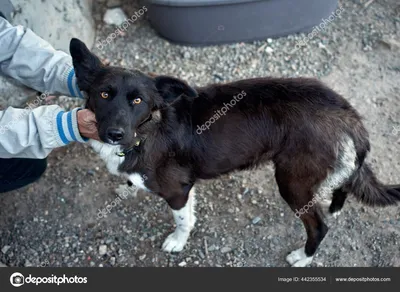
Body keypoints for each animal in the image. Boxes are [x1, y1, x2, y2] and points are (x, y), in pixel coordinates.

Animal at [70, 37, 398, 266]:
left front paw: (177, 242)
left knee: (319, 227)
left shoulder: (177, 189)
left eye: (138, 101)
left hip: (293, 182)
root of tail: (346, 113)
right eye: (103, 94)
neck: (148, 129)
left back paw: (303, 257)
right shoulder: (186, 185)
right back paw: (335, 206)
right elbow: (184, 209)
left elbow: (181, 219)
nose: (115, 134)